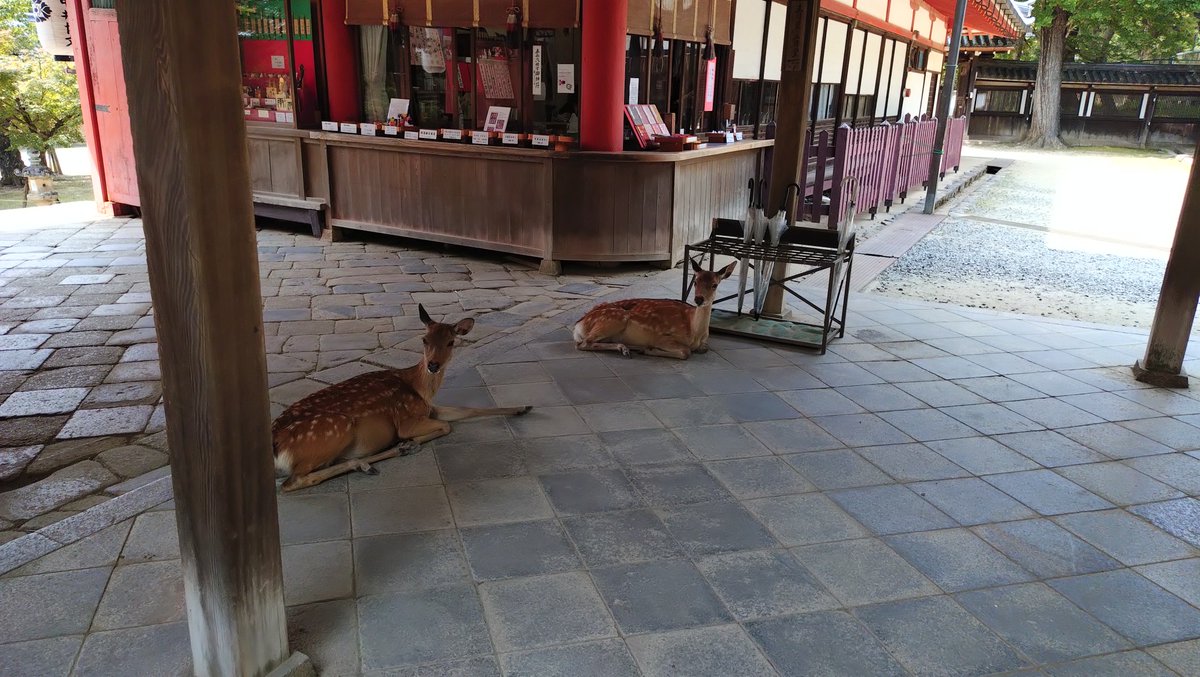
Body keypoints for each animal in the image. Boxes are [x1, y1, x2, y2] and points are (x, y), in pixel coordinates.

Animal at [271, 305, 531, 491]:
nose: (433, 365)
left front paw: (523, 407)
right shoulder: (407, 420)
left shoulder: (430, 409)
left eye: (451, 341)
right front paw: (408, 442)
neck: (419, 388)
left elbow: (468, 410)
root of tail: (275, 447)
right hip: (333, 431)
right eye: (424, 340)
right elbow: (446, 426)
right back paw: (375, 459)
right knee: (292, 482)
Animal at [573, 258, 736, 360]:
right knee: (583, 344)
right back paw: (628, 348)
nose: (699, 299)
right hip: (614, 319)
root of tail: (578, 326)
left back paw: (629, 348)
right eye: (695, 282)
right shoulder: (662, 337)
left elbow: (704, 348)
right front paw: (648, 349)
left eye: (715, 284)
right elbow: (686, 351)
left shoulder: (703, 343)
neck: (694, 333)